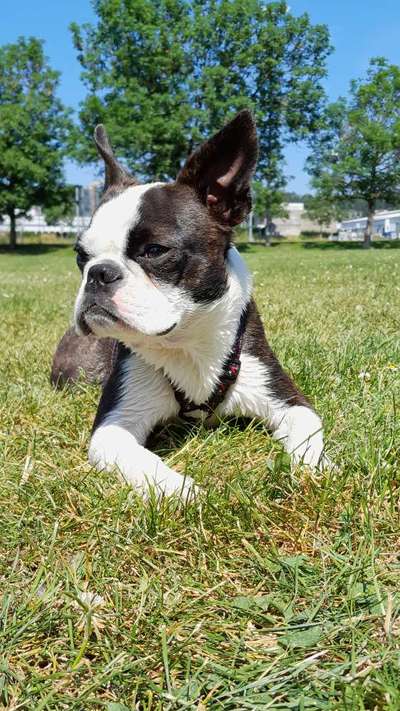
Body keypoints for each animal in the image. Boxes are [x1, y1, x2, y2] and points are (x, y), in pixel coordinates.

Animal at [55, 112, 324, 500]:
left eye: (155, 251)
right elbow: (141, 461)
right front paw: (183, 492)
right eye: (80, 255)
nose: (98, 272)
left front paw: (309, 472)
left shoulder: (287, 398)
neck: (185, 341)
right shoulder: (111, 427)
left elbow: (308, 437)